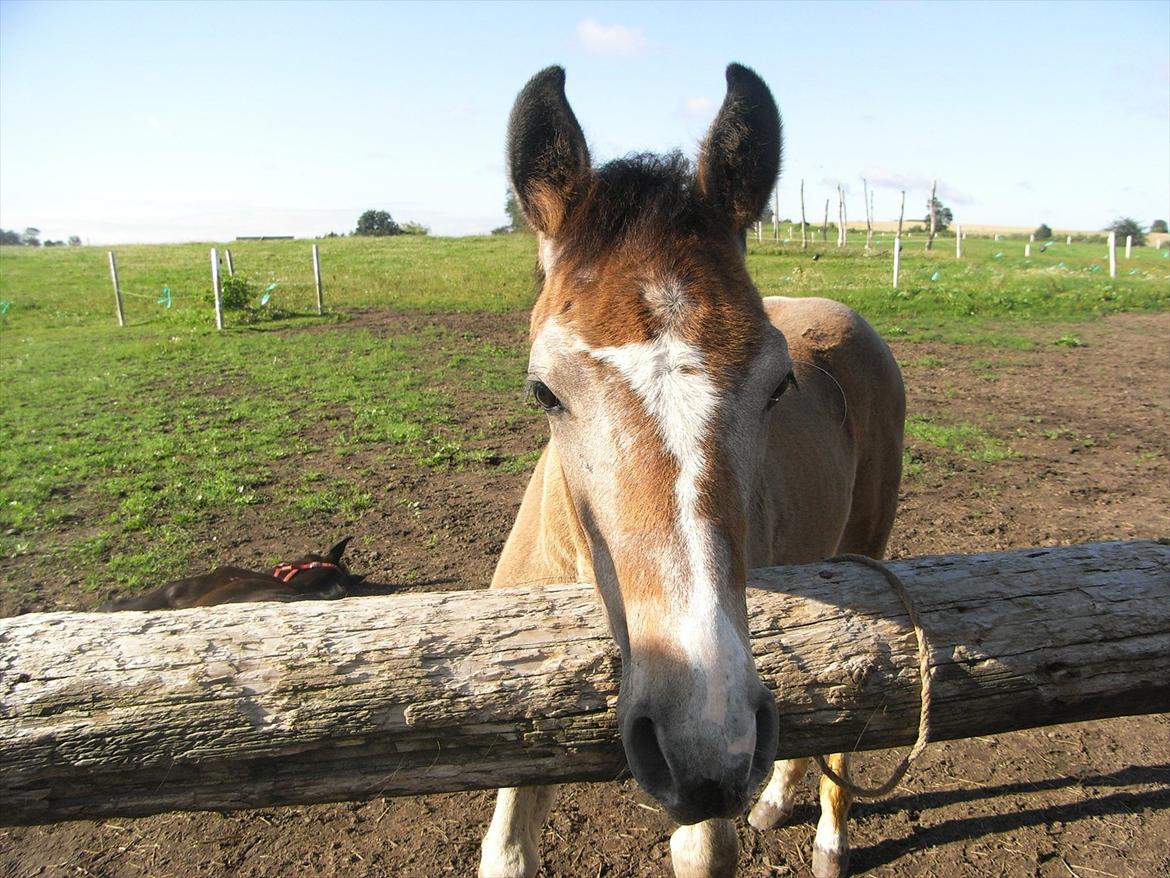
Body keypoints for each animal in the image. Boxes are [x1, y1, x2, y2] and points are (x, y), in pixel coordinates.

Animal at [475, 63, 903, 878]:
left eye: (777, 385)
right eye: (544, 390)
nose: (708, 738)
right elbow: (506, 848)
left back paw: (829, 839)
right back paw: (777, 799)